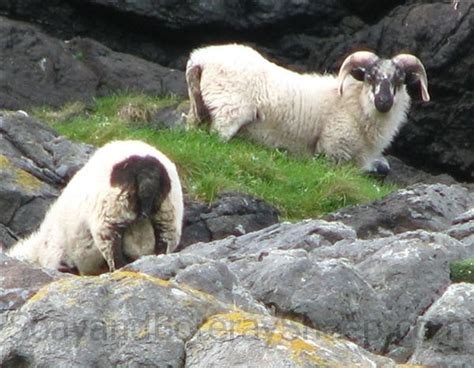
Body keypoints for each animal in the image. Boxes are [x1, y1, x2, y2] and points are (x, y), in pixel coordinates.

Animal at [6, 139, 183, 274]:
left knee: (113, 252)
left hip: (110, 215)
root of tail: (146, 170)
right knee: (163, 244)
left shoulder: (57, 257)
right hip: (167, 216)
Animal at [185, 43, 430, 173]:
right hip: (228, 111)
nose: (384, 102)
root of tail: (200, 59)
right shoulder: (333, 150)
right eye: (370, 77)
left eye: (400, 80)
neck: (354, 103)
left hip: (198, 110)